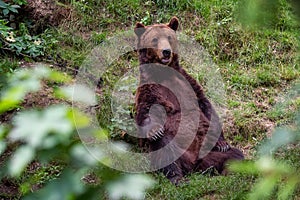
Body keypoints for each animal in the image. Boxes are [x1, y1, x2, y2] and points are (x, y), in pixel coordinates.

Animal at [134, 16, 244, 184]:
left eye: (169, 37)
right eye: (154, 39)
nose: (166, 52)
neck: (164, 73)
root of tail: (194, 165)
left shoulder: (187, 83)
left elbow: (205, 105)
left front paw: (222, 143)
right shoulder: (149, 88)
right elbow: (144, 110)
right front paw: (155, 130)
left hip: (209, 151)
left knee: (234, 154)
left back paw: (230, 170)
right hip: (175, 147)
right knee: (166, 151)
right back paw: (177, 178)